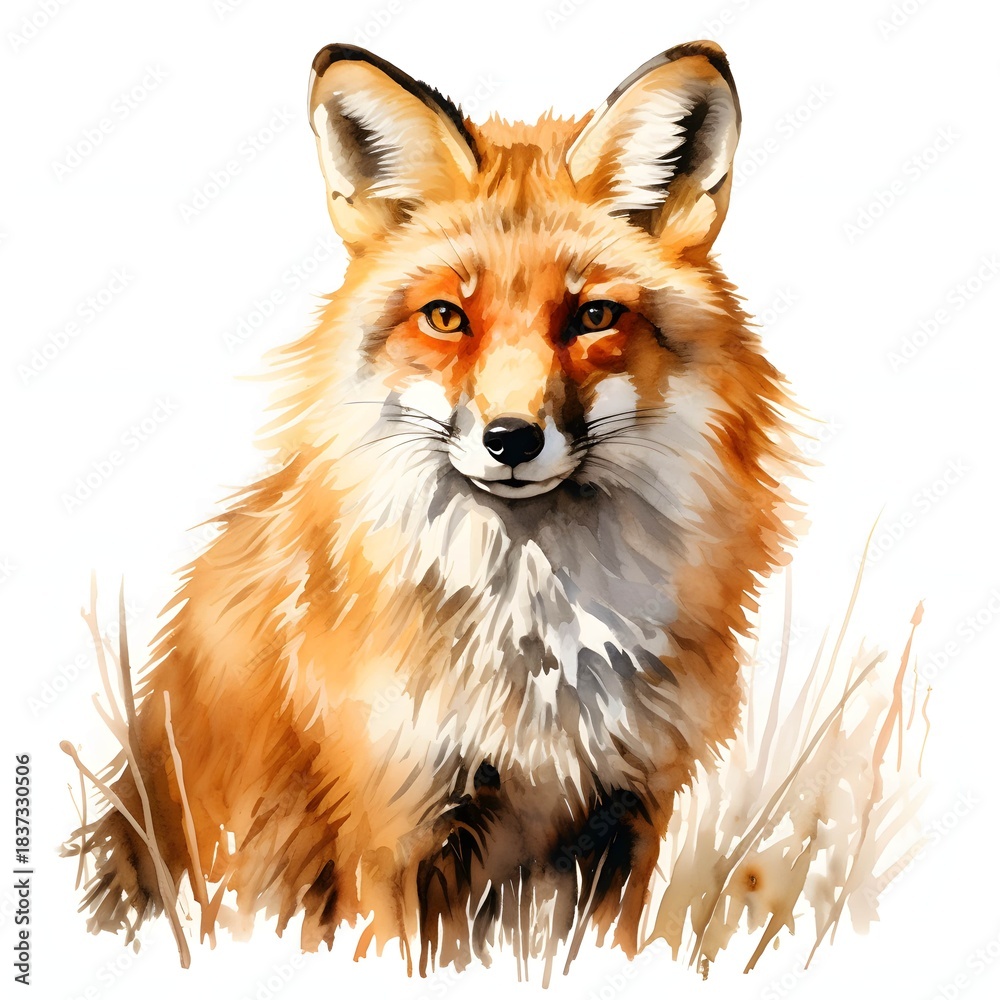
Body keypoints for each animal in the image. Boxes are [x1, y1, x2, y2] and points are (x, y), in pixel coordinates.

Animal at [69, 40, 796, 978]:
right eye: (447, 316)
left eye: (593, 314)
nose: (513, 439)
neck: (540, 647)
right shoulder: (392, 830)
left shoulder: (625, 825)